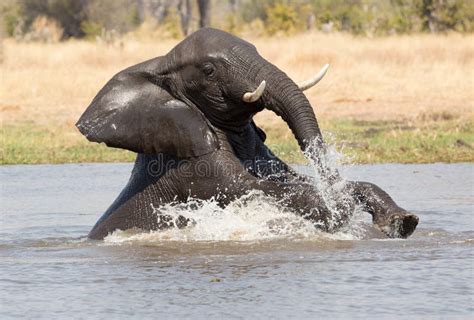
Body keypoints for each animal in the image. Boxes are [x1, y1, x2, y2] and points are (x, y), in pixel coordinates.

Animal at [77, 28, 418, 240]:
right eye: (209, 70)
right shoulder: (192, 163)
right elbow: (252, 187)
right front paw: (338, 208)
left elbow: (291, 178)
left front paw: (401, 222)